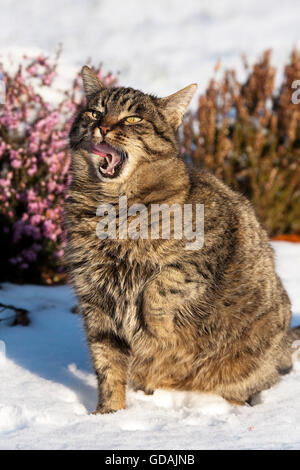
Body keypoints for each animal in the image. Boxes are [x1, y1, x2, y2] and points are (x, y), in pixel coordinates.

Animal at [65, 65, 298, 412]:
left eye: (133, 119)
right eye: (95, 112)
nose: (102, 127)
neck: (112, 210)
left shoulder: (208, 250)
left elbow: (161, 286)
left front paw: (156, 329)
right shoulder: (95, 299)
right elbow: (107, 365)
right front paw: (109, 414)